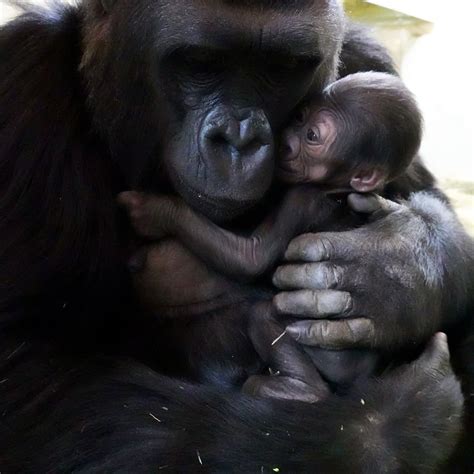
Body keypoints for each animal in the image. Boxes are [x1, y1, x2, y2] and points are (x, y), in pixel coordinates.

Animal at [120, 72, 424, 402]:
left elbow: (250, 258)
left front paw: (155, 212)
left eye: (312, 136)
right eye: (300, 116)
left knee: (265, 316)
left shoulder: (301, 199)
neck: (338, 188)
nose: (286, 143)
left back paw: (298, 389)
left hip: (329, 350)